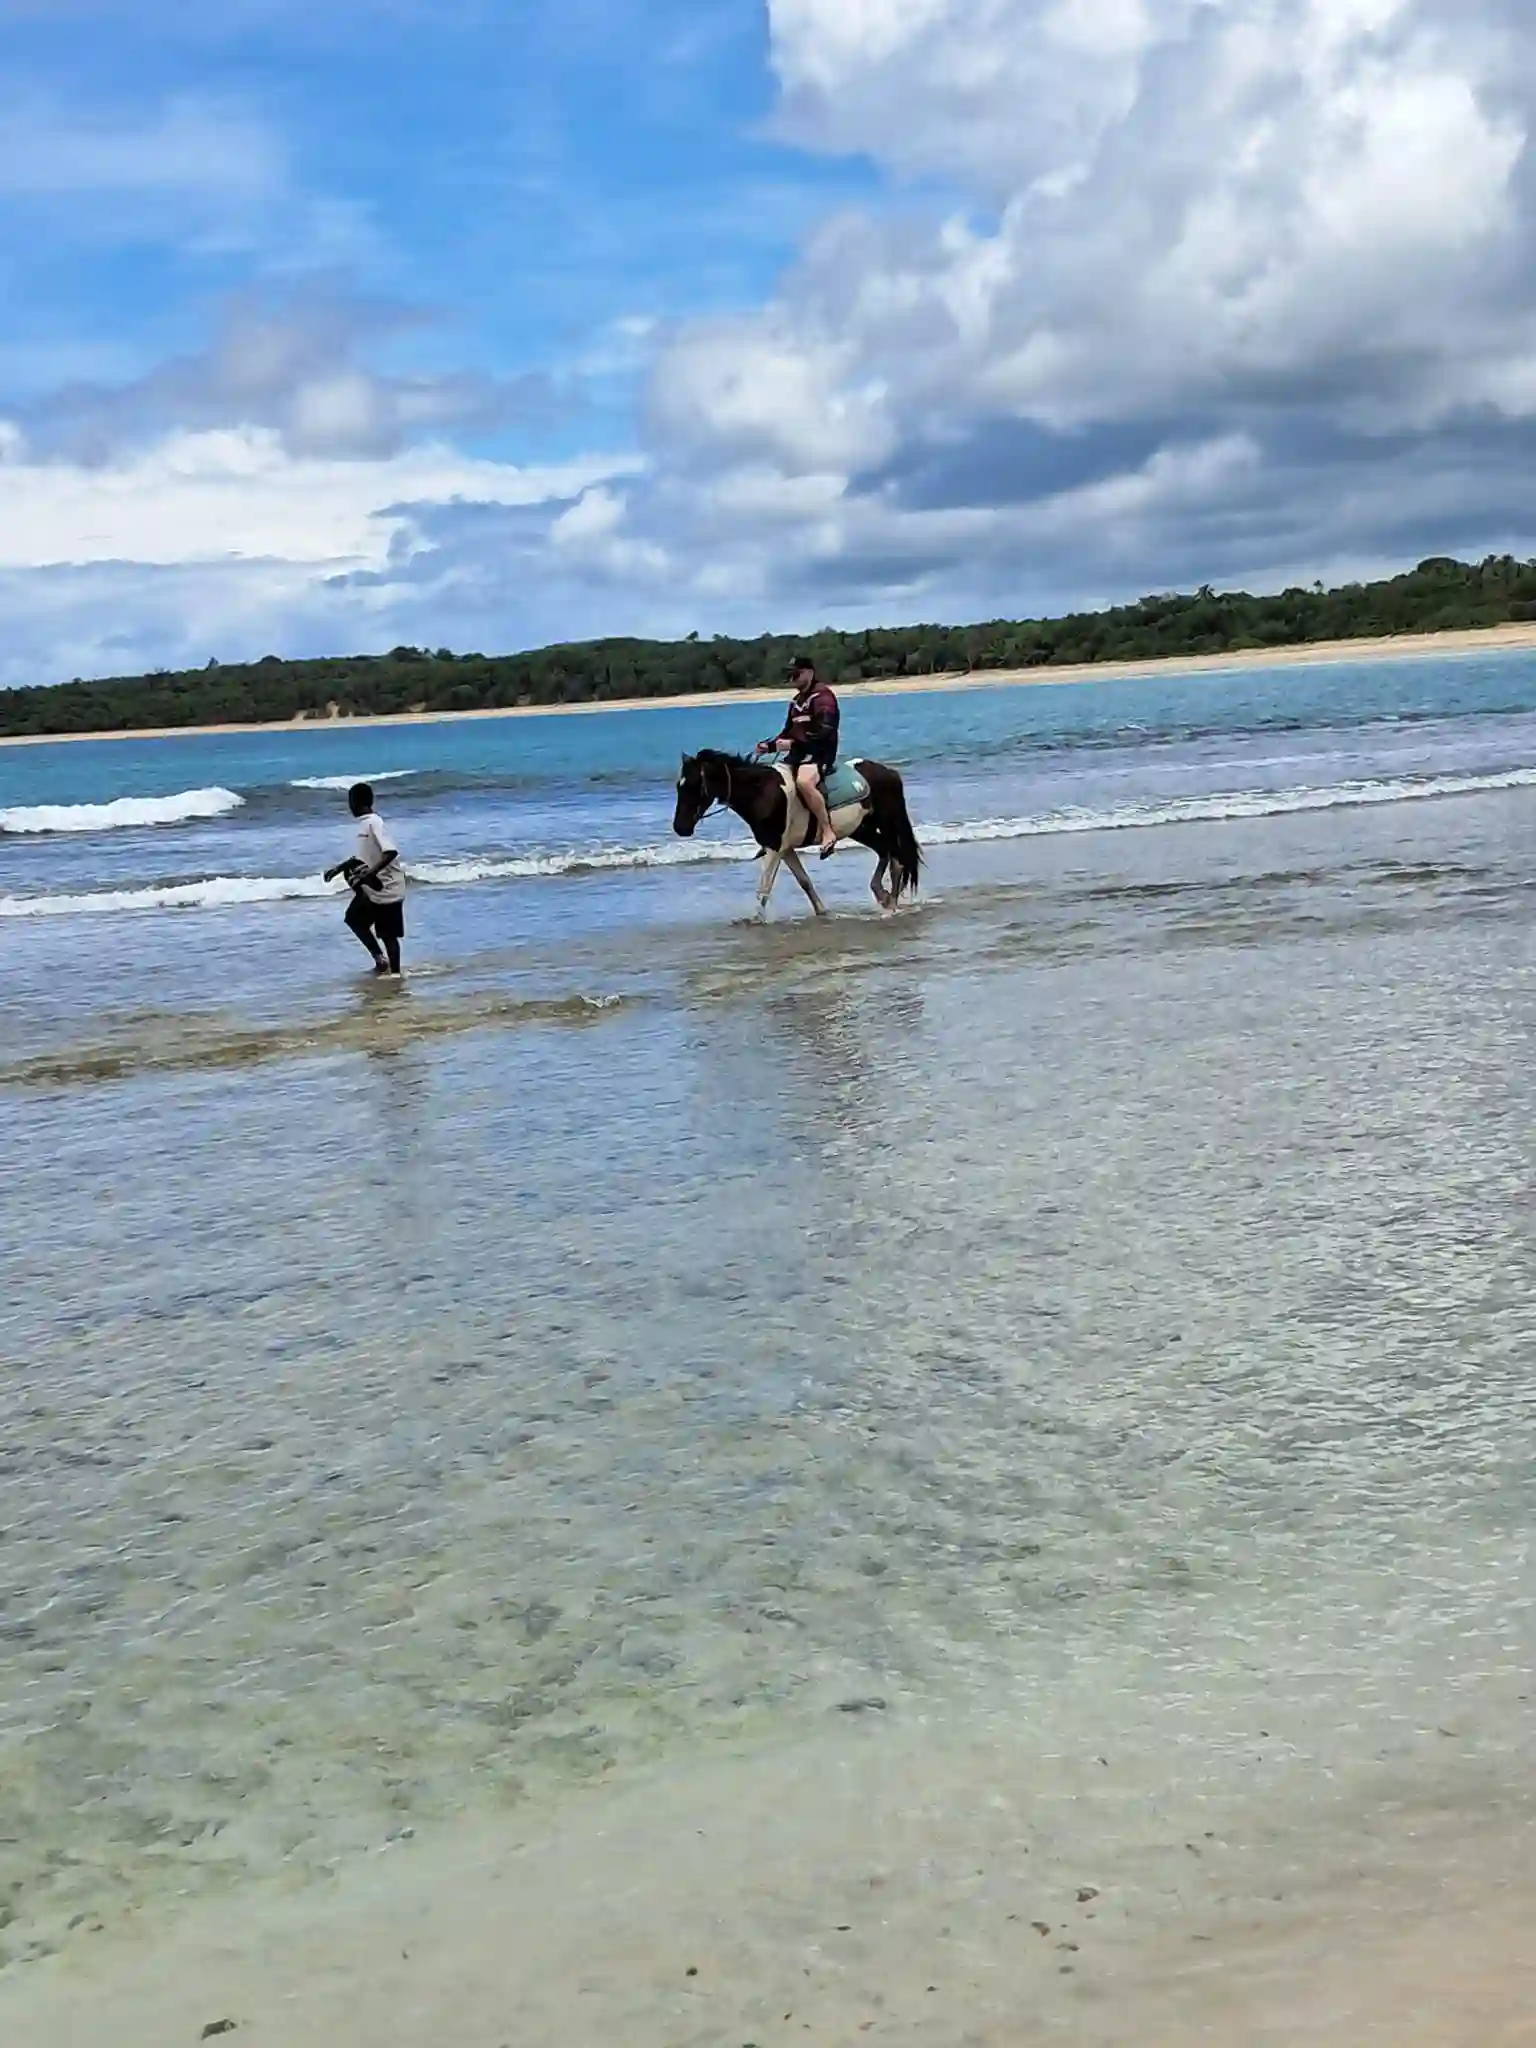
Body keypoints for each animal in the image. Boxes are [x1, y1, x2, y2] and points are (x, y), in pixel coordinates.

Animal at [673, 749, 922, 919]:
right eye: (679, 785)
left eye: (693, 785)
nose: (680, 828)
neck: (763, 792)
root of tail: (889, 772)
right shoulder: (785, 849)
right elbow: (804, 882)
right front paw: (823, 912)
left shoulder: (774, 848)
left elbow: (763, 889)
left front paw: (755, 921)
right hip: (861, 828)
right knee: (885, 852)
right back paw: (883, 895)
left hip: (887, 823)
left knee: (897, 859)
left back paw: (891, 905)